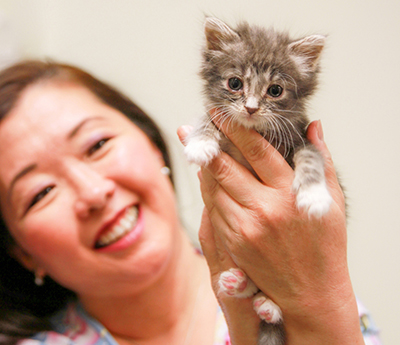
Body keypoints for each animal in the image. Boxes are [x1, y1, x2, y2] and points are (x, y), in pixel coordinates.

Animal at [186, 18, 332, 344]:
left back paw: (269, 306)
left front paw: (314, 196)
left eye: (275, 90)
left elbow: (311, 159)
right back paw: (239, 284)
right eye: (235, 83)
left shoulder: (302, 137)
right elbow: (207, 120)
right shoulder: (221, 120)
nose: (251, 108)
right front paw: (200, 143)